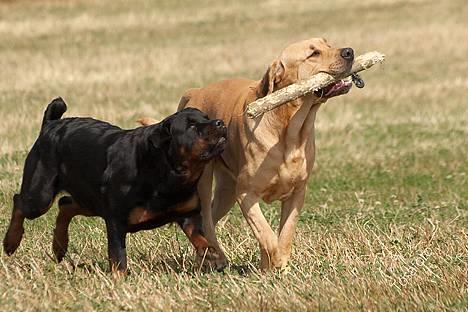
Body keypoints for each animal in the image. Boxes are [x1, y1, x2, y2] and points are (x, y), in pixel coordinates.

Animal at [2, 98, 228, 272]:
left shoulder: (188, 213)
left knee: (66, 203)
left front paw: (213, 257)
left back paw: (59, 246)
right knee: (20, 202)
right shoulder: (116, 220)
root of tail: (50, 125)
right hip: (40, 194)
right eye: (191, 126)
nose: (220, 122)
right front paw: (119, 280)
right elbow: (118, 257)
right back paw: (10, 242)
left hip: (91, 199)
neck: (165, 171)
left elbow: (202, 239)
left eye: (207, 117)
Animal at [141, 37, 352, 270]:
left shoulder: (297, 193)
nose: (349, 52)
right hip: (206, 182)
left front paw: (277, 267)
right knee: (206, 218)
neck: (289, 130)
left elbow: (285, 234)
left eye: (328, 44)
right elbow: (266, 235)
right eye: (313, 53)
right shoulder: (246, 193)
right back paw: (217, 259)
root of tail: (194, 92)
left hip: (227, 191)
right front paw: (274, 261)